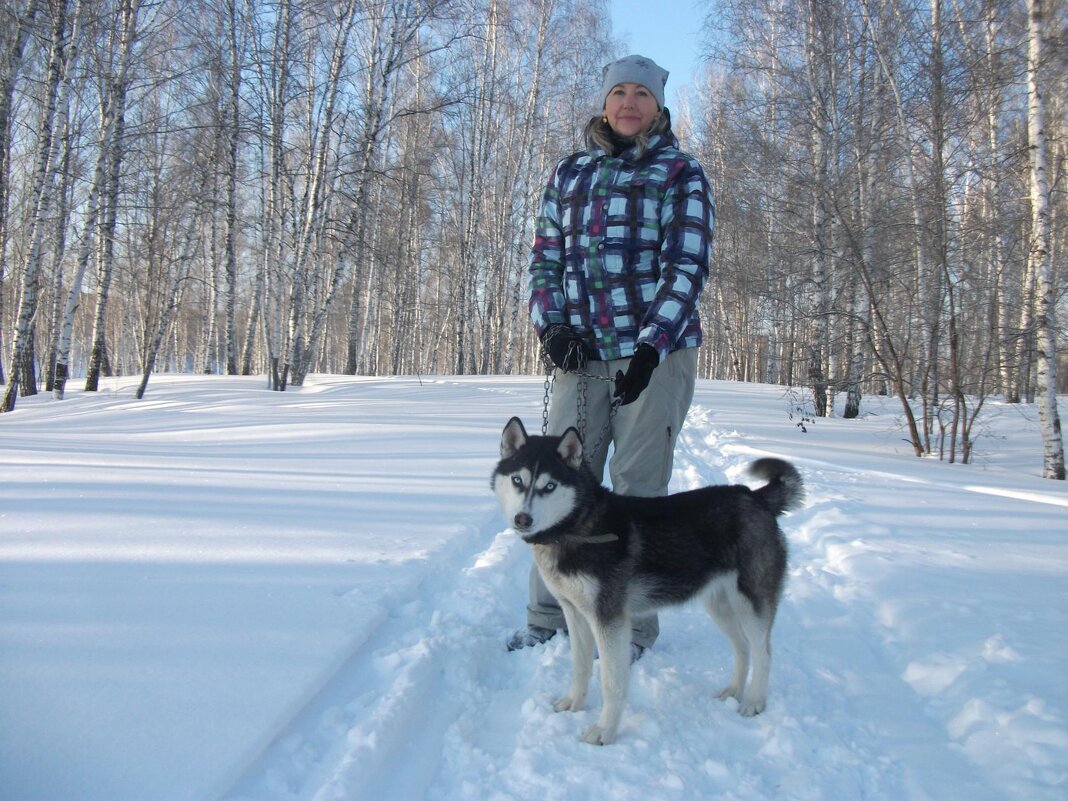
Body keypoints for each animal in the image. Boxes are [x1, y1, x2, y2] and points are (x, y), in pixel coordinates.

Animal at [491, 420, 803, 747]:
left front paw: (604, 731)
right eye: (517, 480)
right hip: (719, 605)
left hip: (751, 605)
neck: (578, 526)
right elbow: (580, 665)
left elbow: (611, 681)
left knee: (763, 653)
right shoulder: (574, 612)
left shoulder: (609, 619)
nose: (523, 519)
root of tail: (755, 497)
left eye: (549, 486)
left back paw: (753, 701)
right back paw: (732, 691)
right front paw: (573, 703)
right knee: (742, 648)